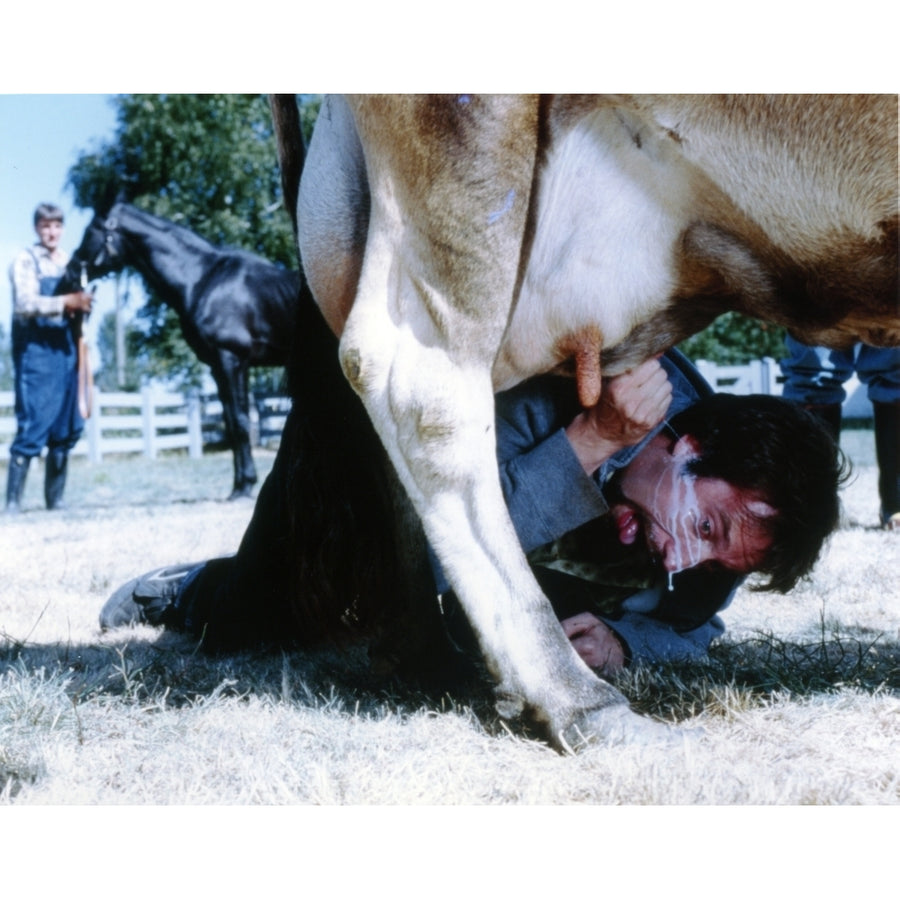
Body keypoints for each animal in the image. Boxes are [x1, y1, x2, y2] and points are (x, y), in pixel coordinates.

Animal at [70, 204, 302, 500]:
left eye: (91, 231)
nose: (69, 271)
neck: (203, 279)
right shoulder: (218, 367)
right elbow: (230, 424)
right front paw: (238, 484)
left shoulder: (232, 361)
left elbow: (240, 423)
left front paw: (245, 487)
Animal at [280, 95, 892, 748]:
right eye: (705, 527)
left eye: (709, 550)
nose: (671, 563)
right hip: (464, 143)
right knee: (420, 388)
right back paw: (574, 697)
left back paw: (431, 659)